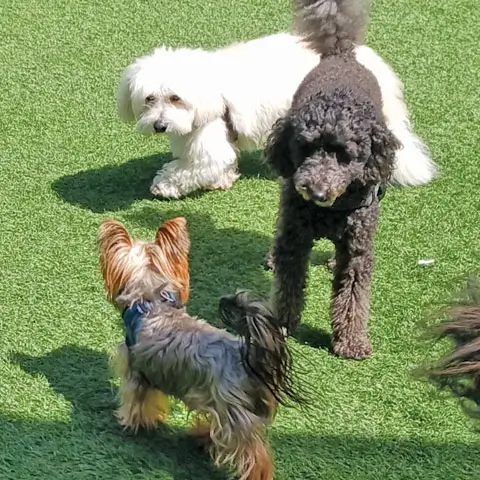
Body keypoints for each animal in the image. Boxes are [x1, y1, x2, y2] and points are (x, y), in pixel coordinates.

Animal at [98, 217, 298, 480]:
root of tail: (253, 357)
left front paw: (131, 422)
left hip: (233, 413)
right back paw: (201, 435)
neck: (152, 302)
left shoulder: (136, 372)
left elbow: (136, 402)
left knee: (254, 454)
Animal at [117, 30, 436, 199]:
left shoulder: (211, 136)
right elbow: (223, 162)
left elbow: (193, 168)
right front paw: (223, 180)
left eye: (175, 98)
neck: (209, 87)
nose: (159, 125)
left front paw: (164, 185)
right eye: (149, 99)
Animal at [265, 0, 401, 360]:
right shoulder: (294, 237)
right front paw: (279, 325)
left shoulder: (357, 250)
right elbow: (288, 283)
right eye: (305, 147)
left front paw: (351, 341)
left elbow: (353, 294)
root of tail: (342, 54)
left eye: (345, 155)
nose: (315, 192)